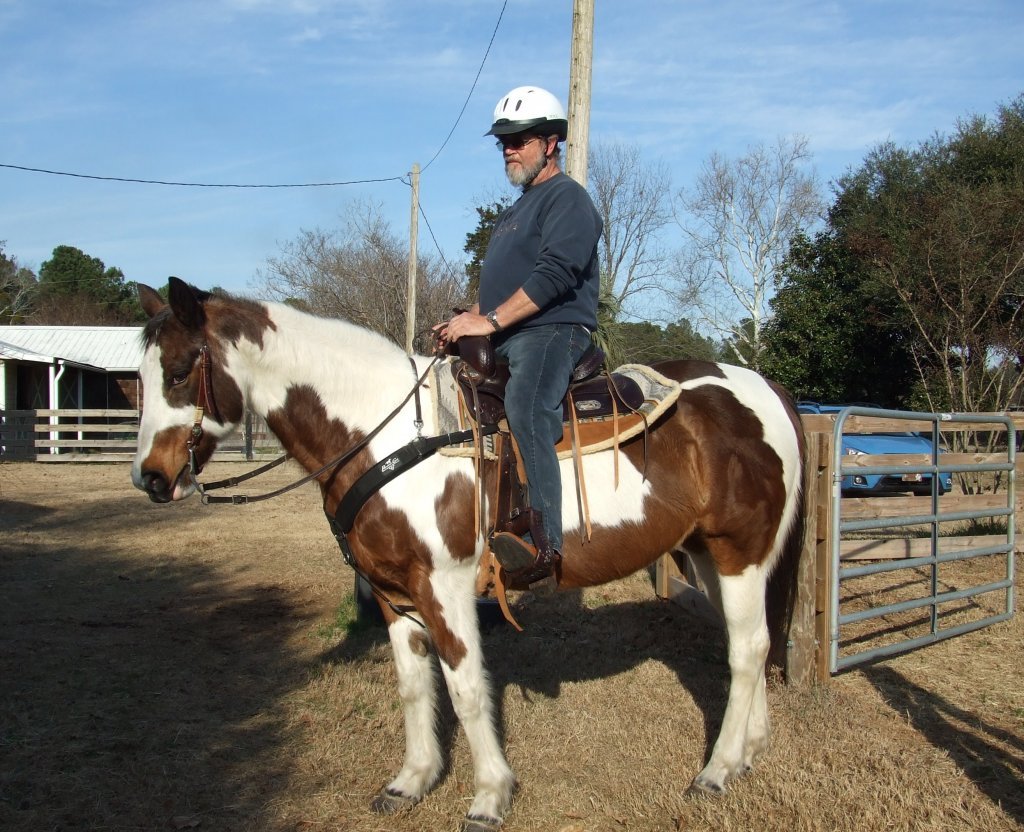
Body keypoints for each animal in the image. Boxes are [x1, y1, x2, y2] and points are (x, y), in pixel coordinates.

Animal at [131, 277, 805, 831]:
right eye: (138, 377)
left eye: (176, 371)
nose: (150, 479)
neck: (384, 434)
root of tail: (767, 389)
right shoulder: (393, 593)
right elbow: (413, 686)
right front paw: (412, 781)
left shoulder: (445, 588)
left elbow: (465, 688)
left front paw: (488, 797)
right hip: (709, 556)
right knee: (751, 642)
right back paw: (750, 754)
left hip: (741, 552)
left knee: (747, 651)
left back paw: (716, 771)